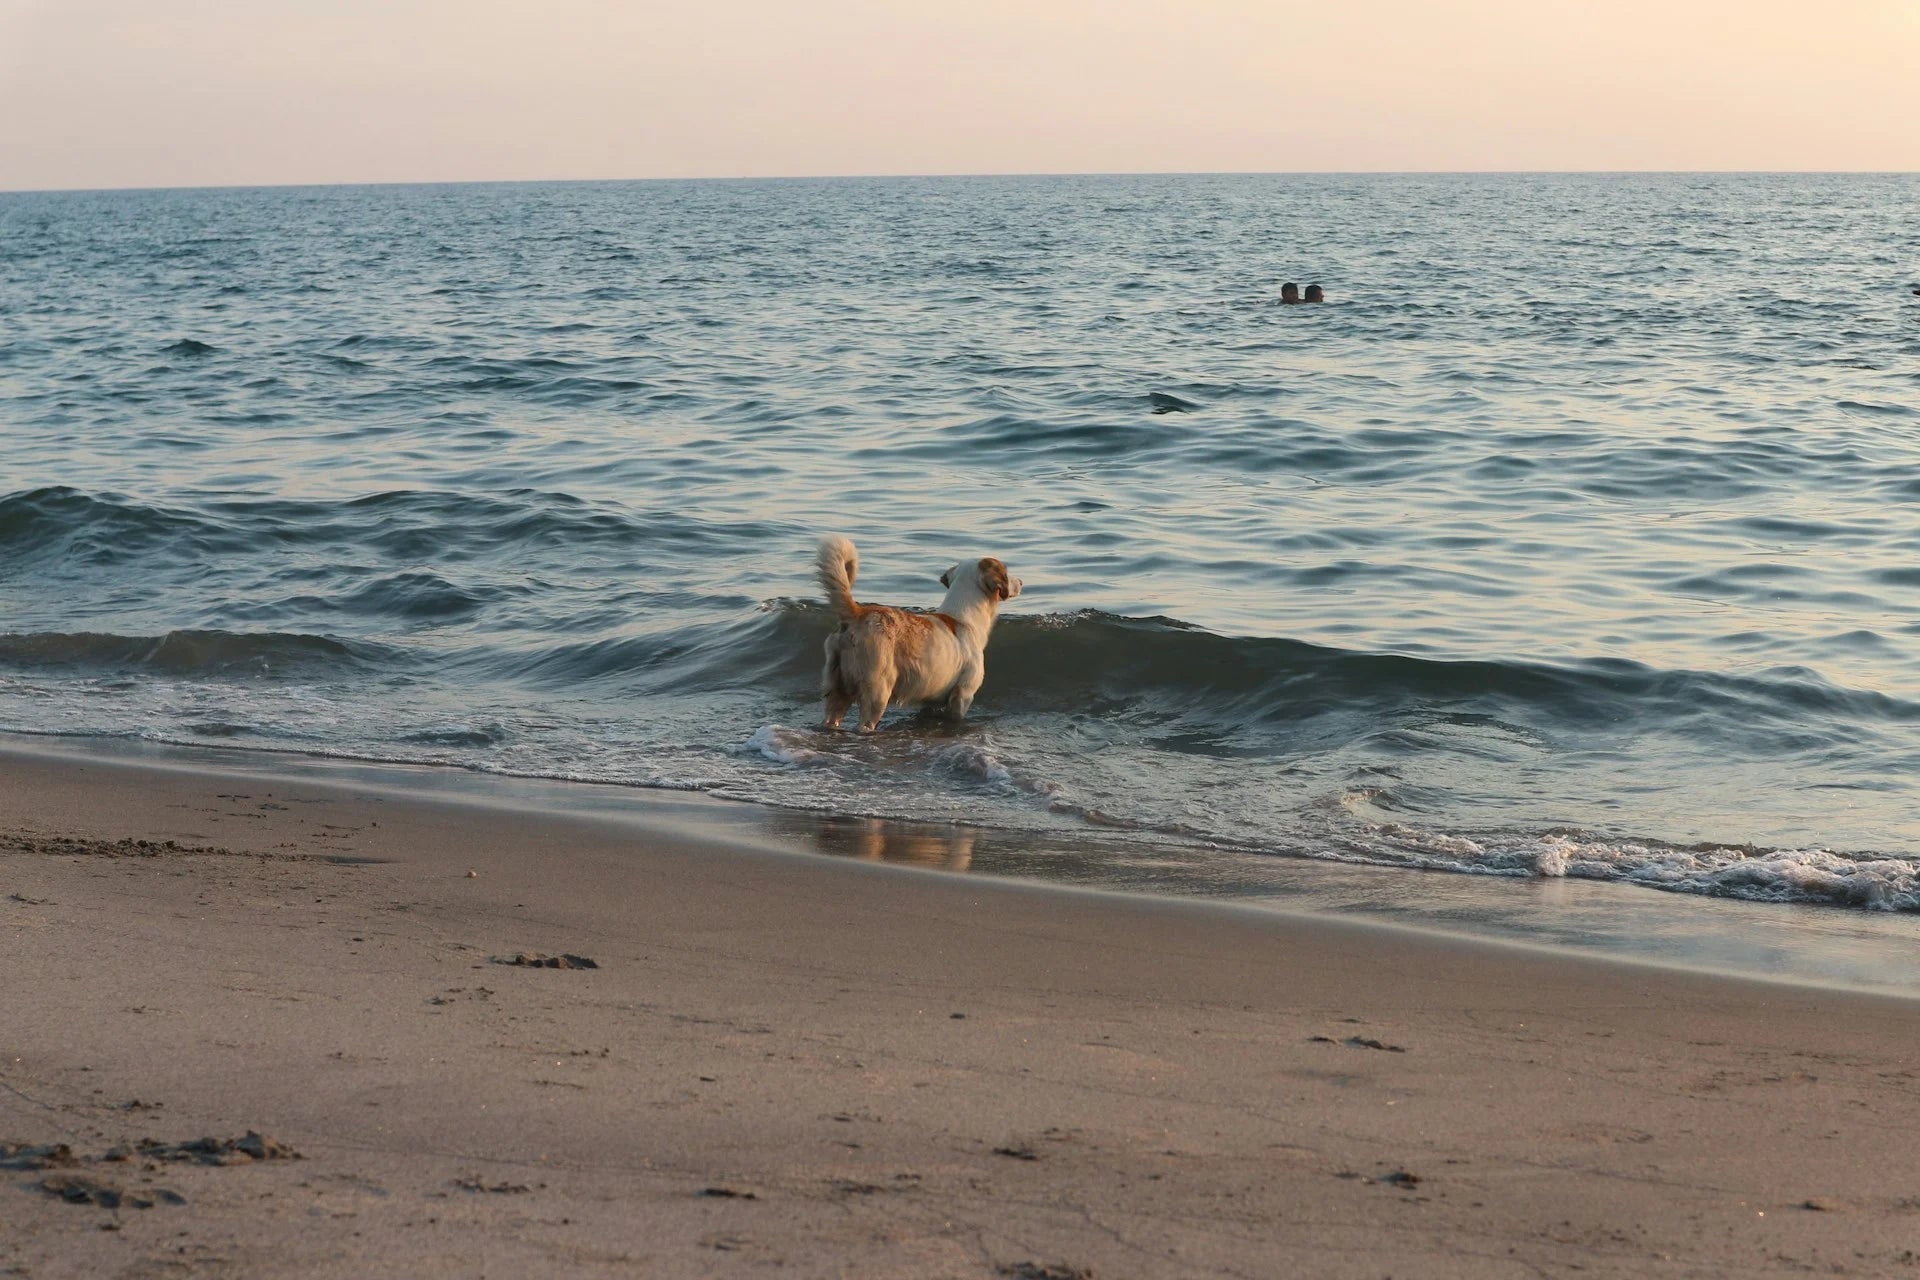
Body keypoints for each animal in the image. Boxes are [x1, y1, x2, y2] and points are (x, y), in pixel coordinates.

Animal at [810, 529, 1021, 729]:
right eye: (1006, 572)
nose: (1021, 582)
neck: (964, 617)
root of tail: (857, 613)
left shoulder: (929, 701)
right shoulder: (963, 695)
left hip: (836, 690)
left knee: (831, 719)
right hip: (877, 692)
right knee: (865, 724)